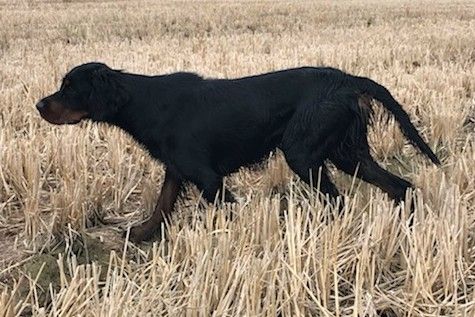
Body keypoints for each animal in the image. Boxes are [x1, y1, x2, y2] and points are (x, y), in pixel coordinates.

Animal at [35, 63, 440, 241]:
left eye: (70, 87)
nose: (39, 105)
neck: (145, 102)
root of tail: (347, 79)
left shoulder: (208, 177)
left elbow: (226, 213)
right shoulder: (178, 170)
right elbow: (162, 203)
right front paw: (143, 233)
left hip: (304, 153)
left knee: (337, 200)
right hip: (347, 152)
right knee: (399, 186)